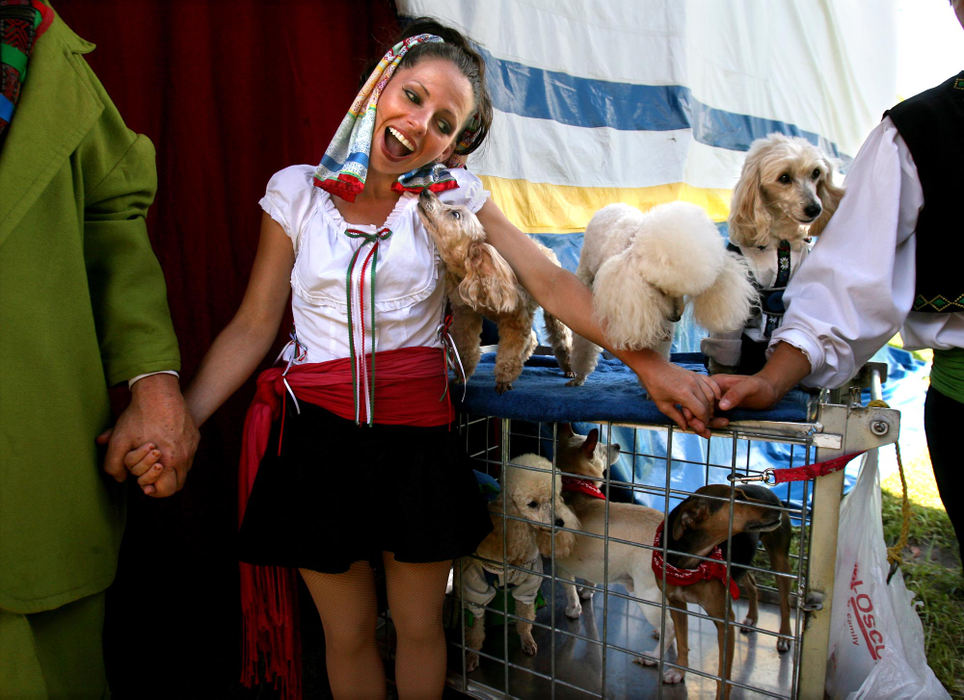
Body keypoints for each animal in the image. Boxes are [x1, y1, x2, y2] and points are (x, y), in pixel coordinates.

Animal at [416, 187, 572, 394]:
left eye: (455, 213)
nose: (425, 191)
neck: (475, 272)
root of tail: (545, 248)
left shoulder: (515, 319)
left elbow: (509, 353)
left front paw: (504, 380)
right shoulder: (466, 315)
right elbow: (466, 347)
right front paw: (462, 375)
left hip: (552, 317)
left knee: (561, 340)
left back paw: (569, 368)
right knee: (532, 340)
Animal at [454, 454, 580, 672]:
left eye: (553, 498)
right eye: (532, 504)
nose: (560, 522)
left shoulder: (529, 584)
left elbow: (525, 616)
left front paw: (527, 640)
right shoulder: (475, 589)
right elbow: (475, 628)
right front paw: (471, 654)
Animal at [656, 486, 792, 700]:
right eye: (737, 498)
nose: (778, 508)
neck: (689, 564)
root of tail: (765, 488)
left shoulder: (724, 621)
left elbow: (723, 674)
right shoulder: (676, 604)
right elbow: (682, 642)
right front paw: (679, 671)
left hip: (780, 561)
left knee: (785, 603)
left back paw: (785, 636)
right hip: (739, 566)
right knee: (753, 584)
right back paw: (752, 617)